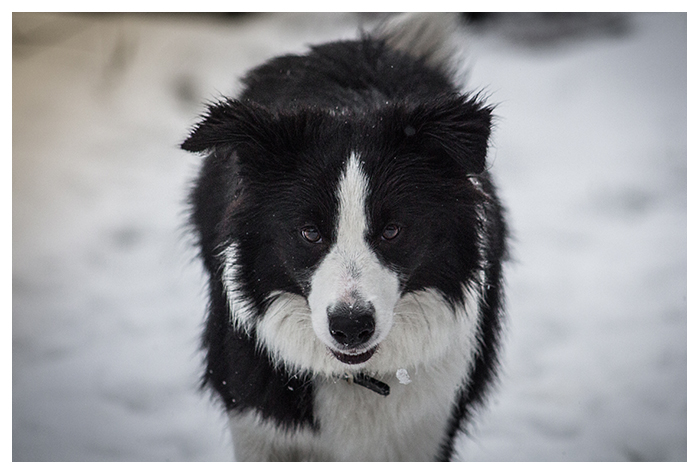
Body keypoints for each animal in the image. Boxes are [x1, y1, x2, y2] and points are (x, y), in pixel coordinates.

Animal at [183, 13, 506, 462]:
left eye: (392, 230)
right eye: (310, 232)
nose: (351, 326)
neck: (357, 374)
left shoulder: (428, 427)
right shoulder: (259, 426)